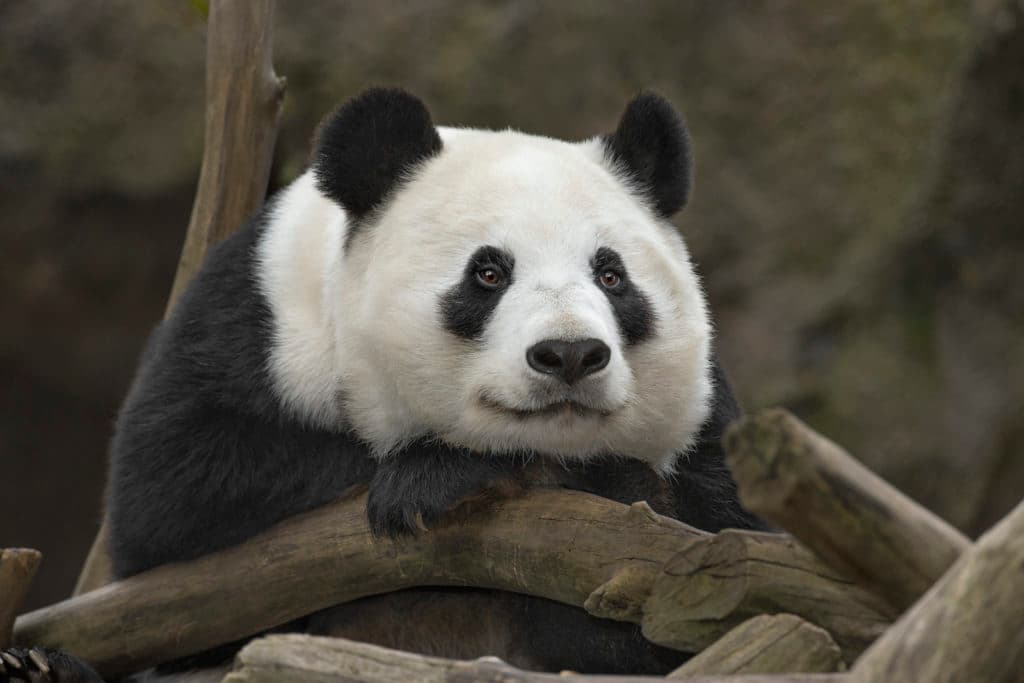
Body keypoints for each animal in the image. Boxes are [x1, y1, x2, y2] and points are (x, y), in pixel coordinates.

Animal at [3, 88, 762, 682]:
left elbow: (694, 586)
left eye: (611, 274)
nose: (569, 354)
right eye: (489, 273)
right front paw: (439, 475)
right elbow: (168, 496)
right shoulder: (255, 315)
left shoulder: (705, 431)